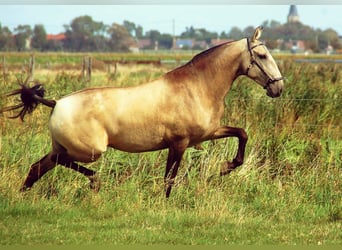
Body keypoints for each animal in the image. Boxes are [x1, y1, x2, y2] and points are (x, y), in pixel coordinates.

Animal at [0, 25, 284, 197]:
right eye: (262, 55)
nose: (278, 88)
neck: (197, 87)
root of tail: (57, 103)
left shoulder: (206, 134)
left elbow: (242, 133)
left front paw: (226, 167)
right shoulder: (179, 143)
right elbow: (169, 178)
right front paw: (165, 204)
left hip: (66, 148)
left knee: (38, 167)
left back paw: (25, 195)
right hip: (90, 151)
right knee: (59, 162)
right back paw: (95, 180)